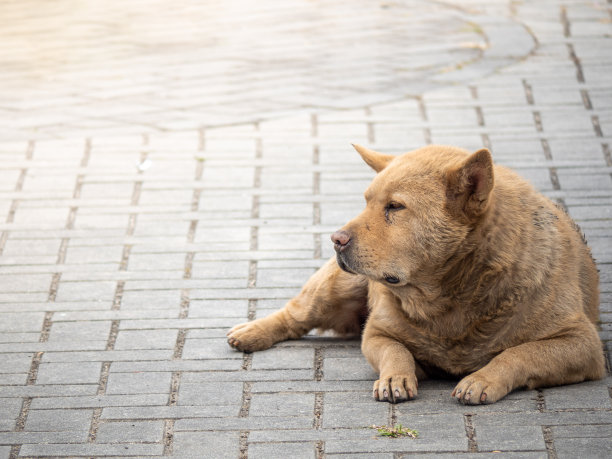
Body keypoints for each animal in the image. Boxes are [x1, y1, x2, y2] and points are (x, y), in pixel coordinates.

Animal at [227, 145, 604, 406]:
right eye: (366, 201)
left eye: (395, 207)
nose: (336, 239)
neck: (450, 296)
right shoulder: (376, 334)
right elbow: (396, 351)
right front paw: (397, 376)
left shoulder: (584, 344)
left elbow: (519, 353)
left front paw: (483, 378)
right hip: (339, 286)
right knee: (295, 314)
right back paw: (253, 332)